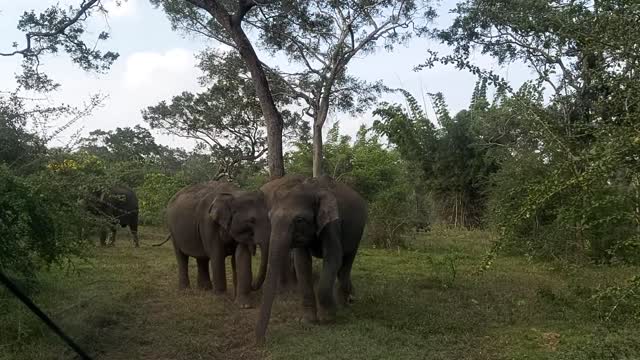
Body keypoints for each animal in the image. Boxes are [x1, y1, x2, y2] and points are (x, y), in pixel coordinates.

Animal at [254, 175, 364, 344]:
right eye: (270, 218)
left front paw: (329, 318)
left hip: (358, 232)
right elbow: (302, 262)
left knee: (346, 262)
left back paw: (344, 305)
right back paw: (349, 298)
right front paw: (308, 321)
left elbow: (333, 257)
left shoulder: (332, 224)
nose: (262, 341)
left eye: (299, 220)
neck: (311, 188)